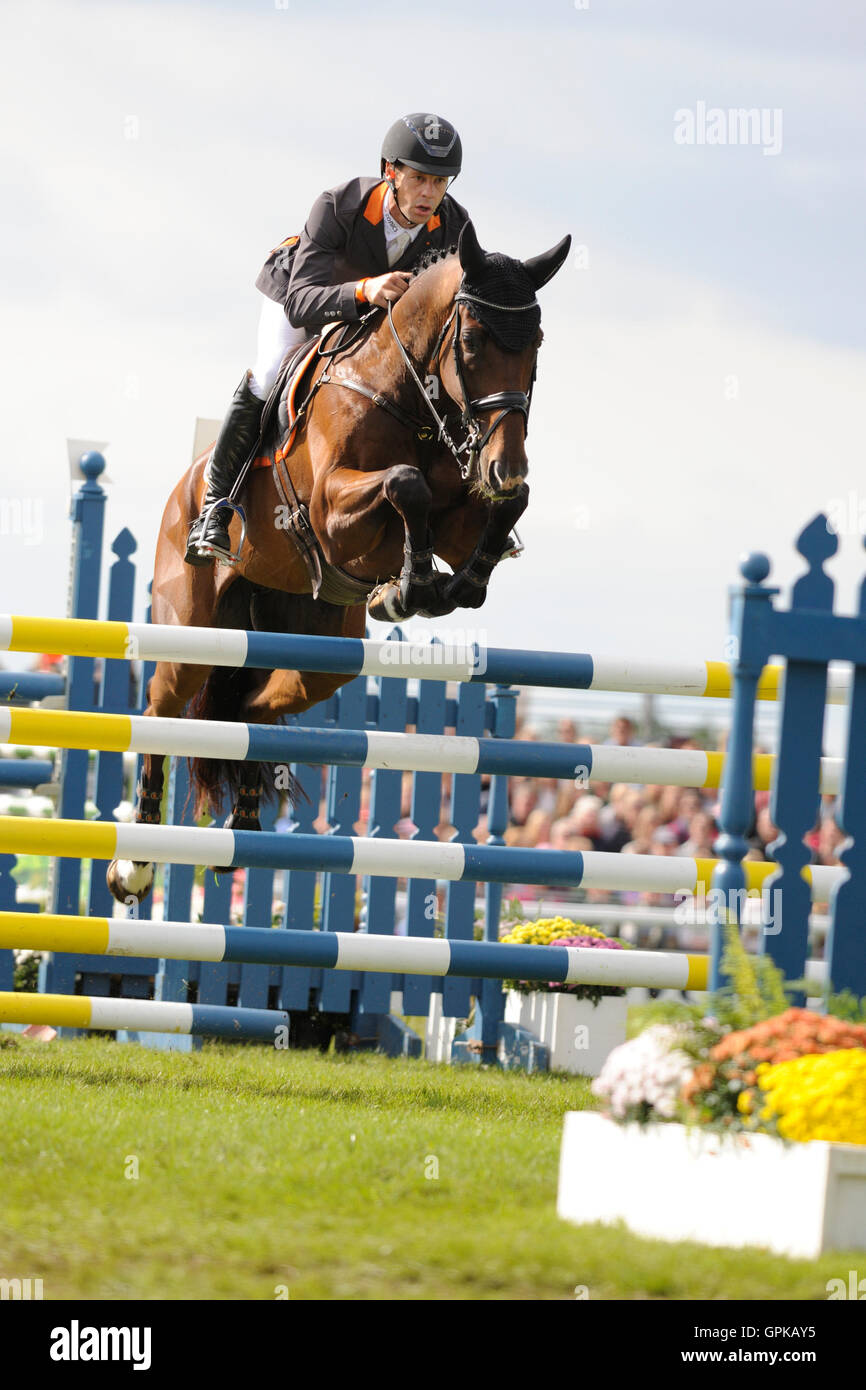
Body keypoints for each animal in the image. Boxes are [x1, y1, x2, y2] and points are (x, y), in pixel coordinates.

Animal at [107, 219, 569, 900]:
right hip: (192, 632)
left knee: (249, 708)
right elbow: (406, 484)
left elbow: (498, 511)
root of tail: (181, 492)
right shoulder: (331, 510)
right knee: (162, 711)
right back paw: (133, 864)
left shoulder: (461, 513)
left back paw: (244, 827)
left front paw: (449, 585)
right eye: (473, 343)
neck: (407, 395)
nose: (502, 466)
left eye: (534, 345)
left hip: (317, 654)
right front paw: (410, 588)